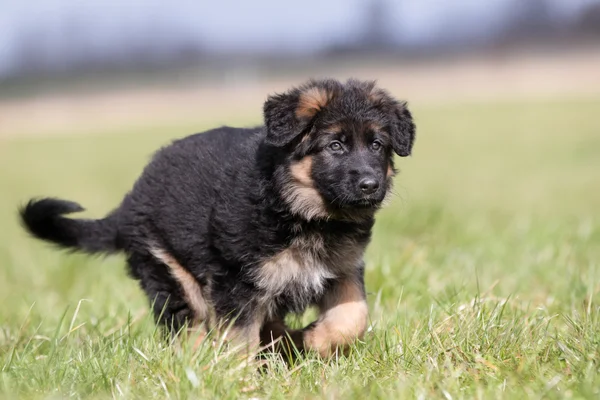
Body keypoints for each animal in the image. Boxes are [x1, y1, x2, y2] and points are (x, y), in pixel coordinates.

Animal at [19, 77, 412, 356]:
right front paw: (241, 378)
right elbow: (239, 339)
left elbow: (353, 318)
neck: (302, 210)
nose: (370, 185)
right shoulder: (235, 280)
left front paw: (312, 340)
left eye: (376, 145)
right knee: (189, 329)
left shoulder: (342, 269)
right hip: (170, 271)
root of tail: (129, 201)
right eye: (335, 146)